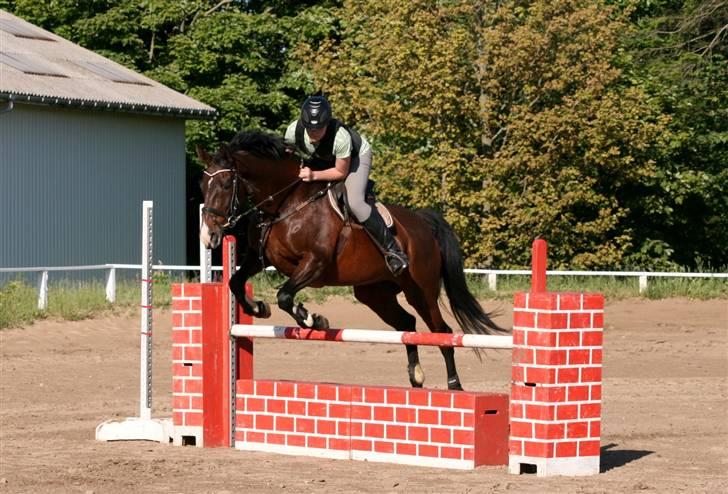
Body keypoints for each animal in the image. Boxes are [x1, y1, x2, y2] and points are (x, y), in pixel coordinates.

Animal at [196, 130, 510, 390]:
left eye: (225, 184)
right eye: (202, 184)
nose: (209, 237)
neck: (285, 204)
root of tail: (422, 222)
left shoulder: (315, 263)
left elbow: (285, 295)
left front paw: (312, 319)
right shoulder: (259, 258)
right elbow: (237, 283)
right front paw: (259, 308)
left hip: (421, 289)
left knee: (441, 331)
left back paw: (454, 385)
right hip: (374, 292)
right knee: (406, 322)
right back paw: (416, 376)